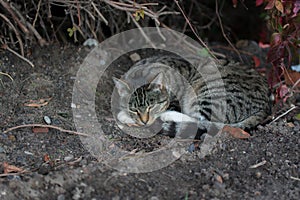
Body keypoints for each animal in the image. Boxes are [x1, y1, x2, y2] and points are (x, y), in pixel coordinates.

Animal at [113, 54, 272, 138]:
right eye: (134, 109)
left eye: (152, 106)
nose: (144, 121)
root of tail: (267, 105)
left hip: (209, 94)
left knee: (200, 122)